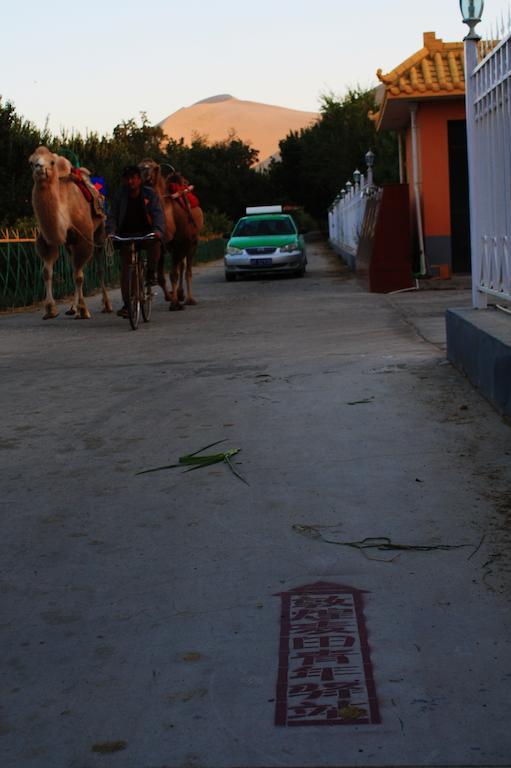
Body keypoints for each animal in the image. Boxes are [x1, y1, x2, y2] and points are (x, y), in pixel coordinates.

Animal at [28, 146, 112, 320]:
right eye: (31, 162)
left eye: (52, 162)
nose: (39, 167)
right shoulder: (48, 240)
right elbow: (47, 272)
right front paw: (50, 309)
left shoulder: (83, 238)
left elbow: (79, 276)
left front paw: (84, 309)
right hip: (69, 244)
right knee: (73, 267)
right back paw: (73, 308)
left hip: (100, 234)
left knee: (99, 268)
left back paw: (106, 305)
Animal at [140, 159, 206, 308]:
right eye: (139, 167)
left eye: (153, 168)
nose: (144, 178)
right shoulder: (162, 245)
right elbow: (161, 277)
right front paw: (170, 297)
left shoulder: (179, 243)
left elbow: (173, 274)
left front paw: (175, 303)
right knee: (181, 266)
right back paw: (180, 294)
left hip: (192, 242)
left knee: (187, 270)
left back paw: (189, 299)